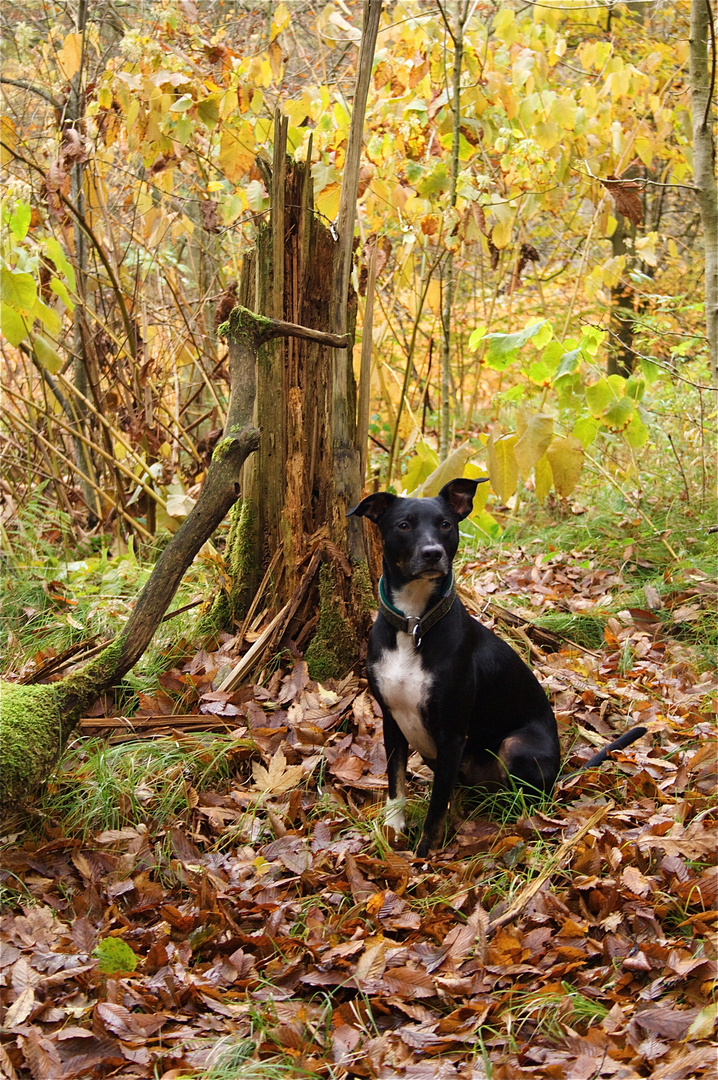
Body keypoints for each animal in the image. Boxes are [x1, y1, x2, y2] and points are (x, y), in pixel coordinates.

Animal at [347, 481, 643, 859]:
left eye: (445, 524)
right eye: (403, 525)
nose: (432, 553)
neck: (414, 624)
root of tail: (559, 774)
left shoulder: (451, 733)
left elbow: (435, 807)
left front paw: (423, 856)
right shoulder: (392, 719)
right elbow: (395, 783)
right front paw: (392, 828)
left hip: (516, 746)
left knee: (528, 796)